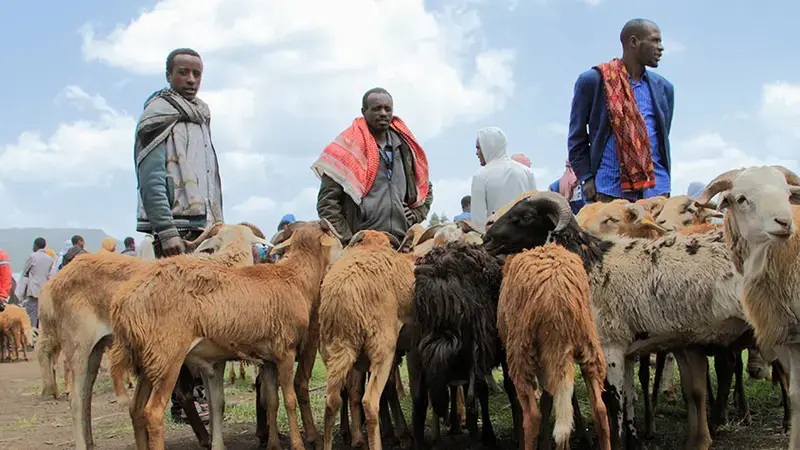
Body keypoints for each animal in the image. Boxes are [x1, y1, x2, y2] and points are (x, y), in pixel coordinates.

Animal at [37, 222, 268, 450]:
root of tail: (51, 285)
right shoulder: (212, 359)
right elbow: (216, 403)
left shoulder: (209, 360)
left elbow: (215, 403)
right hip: (81, 345)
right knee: (78, 400)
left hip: (97, 352)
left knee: (89, 397)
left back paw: (91, 441)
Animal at [109, 219, 341, 450]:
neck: (294, 277)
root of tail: (123, 303)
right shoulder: (286, 351)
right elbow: (289, 399)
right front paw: (297, 444)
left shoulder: (267, 359)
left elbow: (271, 400)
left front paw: (273, 443)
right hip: (167, 358)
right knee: (153, 413)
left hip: (148, 361)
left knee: (136, 409)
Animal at [319, 229, 415, 450]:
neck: (371, 245)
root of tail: (344, 297)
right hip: (382, 347)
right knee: (369, 402)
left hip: (335, 350)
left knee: (332, 401)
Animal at [483, 190, 750, 450]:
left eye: (526, 217)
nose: (486, 240)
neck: (591, 262)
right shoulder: (627, 352)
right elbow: (628, 400)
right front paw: (634, 441)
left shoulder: (611, 348)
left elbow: (613, 403)